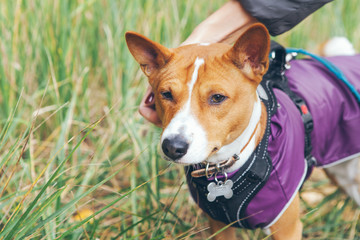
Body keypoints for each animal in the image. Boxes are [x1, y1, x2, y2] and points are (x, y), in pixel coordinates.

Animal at [124, 23, 360, 239]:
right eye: (166, 94)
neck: (221, 169)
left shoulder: (287, 228)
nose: (173, 147)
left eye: (217, 97)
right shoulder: (219, 225)